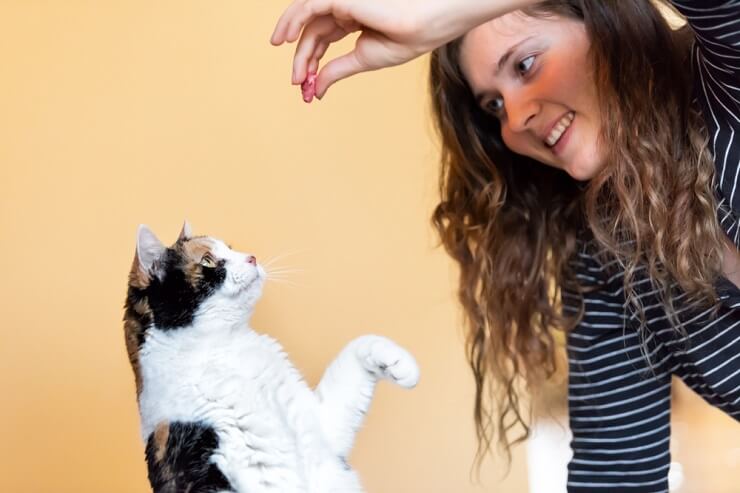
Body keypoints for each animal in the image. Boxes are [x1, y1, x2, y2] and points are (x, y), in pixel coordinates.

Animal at [124, 224, 420, 492]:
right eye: (207, 260)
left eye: (230, 249)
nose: (251, 257)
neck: (225, 349)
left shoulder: (320, 427)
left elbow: (358, 346)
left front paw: (402, 365)